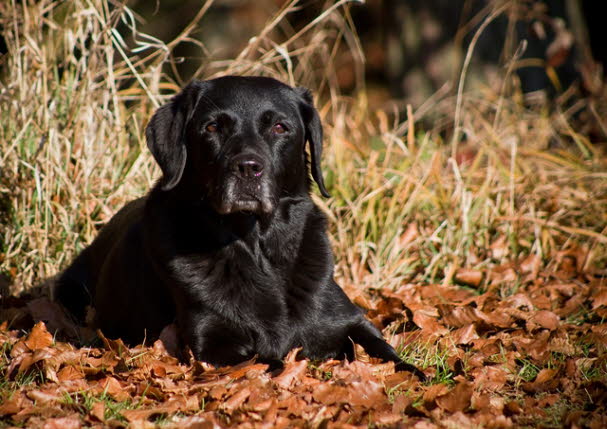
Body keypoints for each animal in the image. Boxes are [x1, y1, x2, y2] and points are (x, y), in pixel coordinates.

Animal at [53, 77, 422, 378]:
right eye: (213, 128)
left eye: (280, 128)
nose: (247, 168)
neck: (258, 247)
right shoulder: (212, 341)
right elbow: (269, 358)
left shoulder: (348, 320)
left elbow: (388, 353)